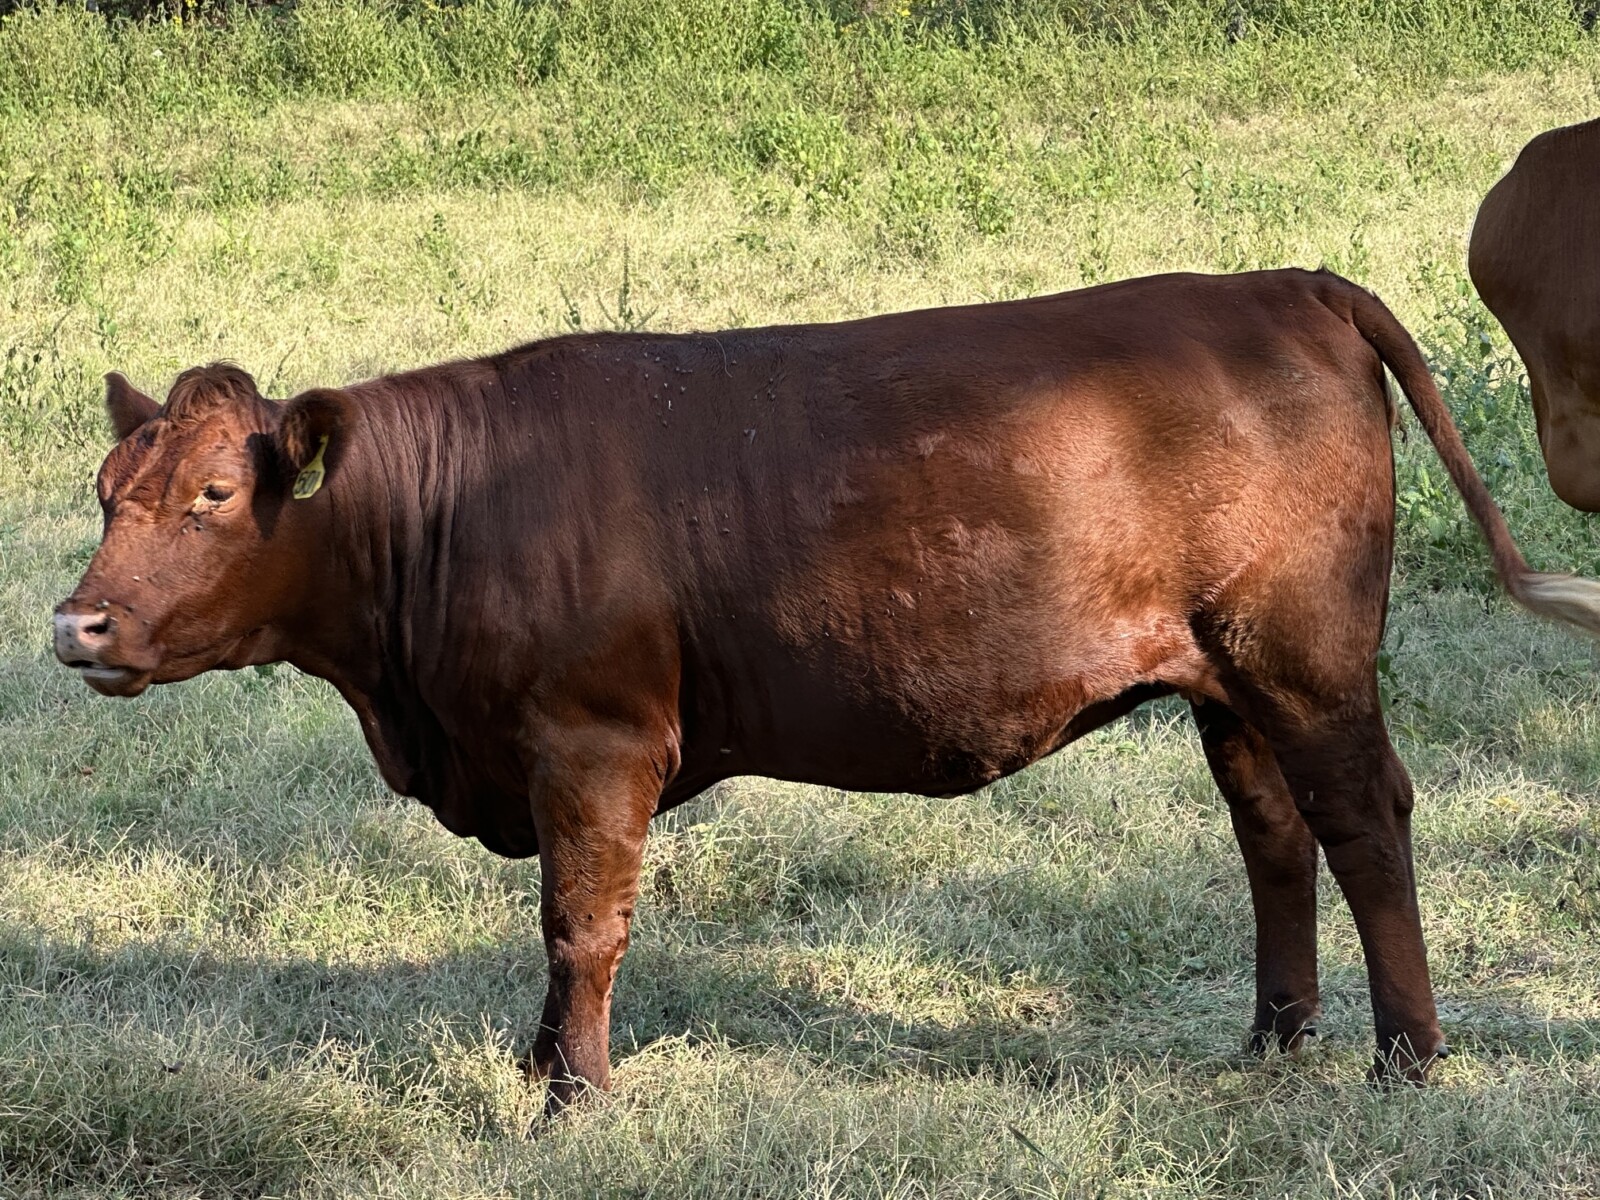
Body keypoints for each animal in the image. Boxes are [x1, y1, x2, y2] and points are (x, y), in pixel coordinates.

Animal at [53, 269, 1600, 1112]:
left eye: (212, 494)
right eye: (107, 487)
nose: (75, 622)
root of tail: (1274, 283)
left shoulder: (596, 739)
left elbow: (580, 925)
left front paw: (573, 1095)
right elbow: (557, 931)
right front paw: (539, 1067)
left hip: (1307, 658)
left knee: (1365, 823)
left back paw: (1407, 1061)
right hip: (1227, 679)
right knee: (1274, 835)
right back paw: (1274, 1041)